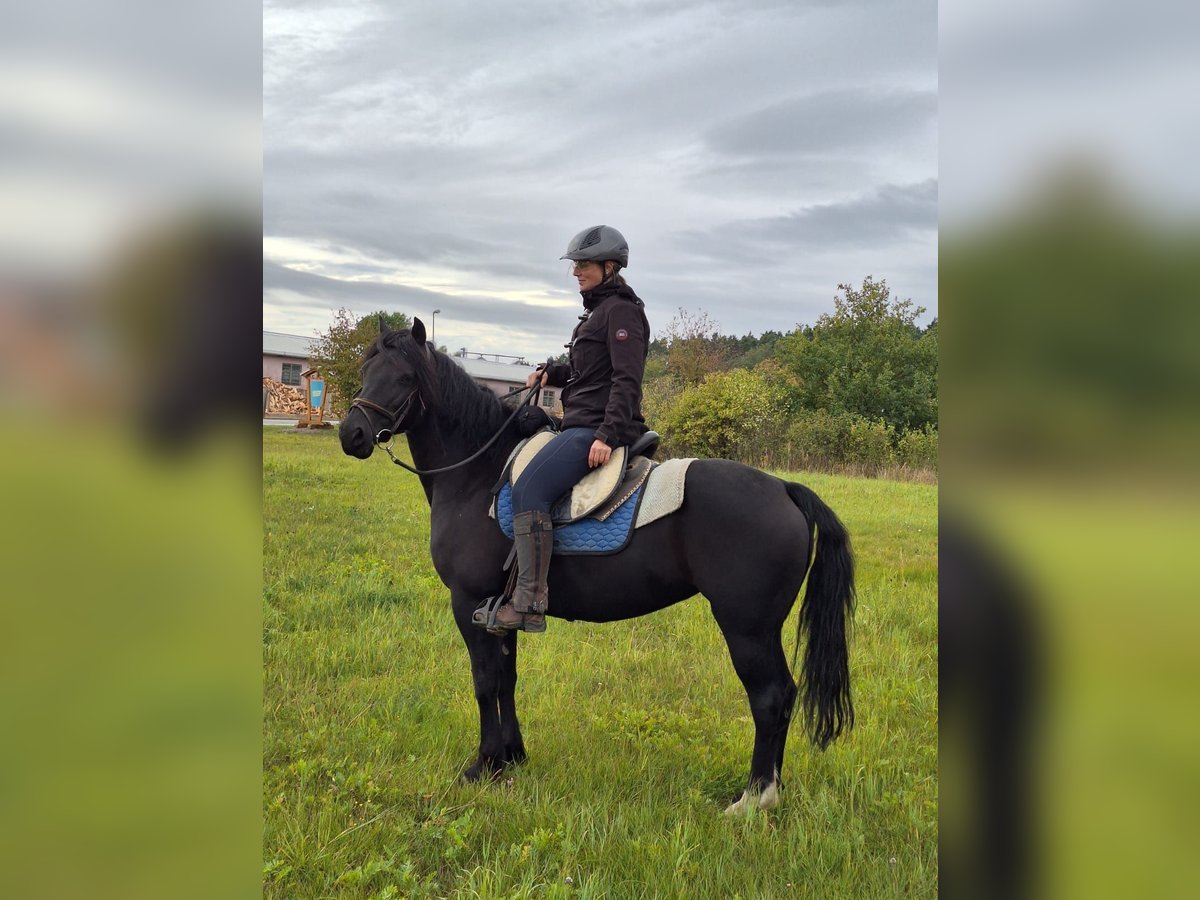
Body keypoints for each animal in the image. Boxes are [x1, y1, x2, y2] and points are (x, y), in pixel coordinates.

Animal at [338, 319, 855, 813]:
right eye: (367, 369)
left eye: (405, 378)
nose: (351, 434)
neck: (477, 474)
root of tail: (784, 488)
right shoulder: (500, 611)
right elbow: (506, 680)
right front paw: (511, 756)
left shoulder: (469, 604)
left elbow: (484, 683)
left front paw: (483, 764)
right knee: (782, 699)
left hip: (747, 628)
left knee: (770, 698)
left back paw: (753, 798)